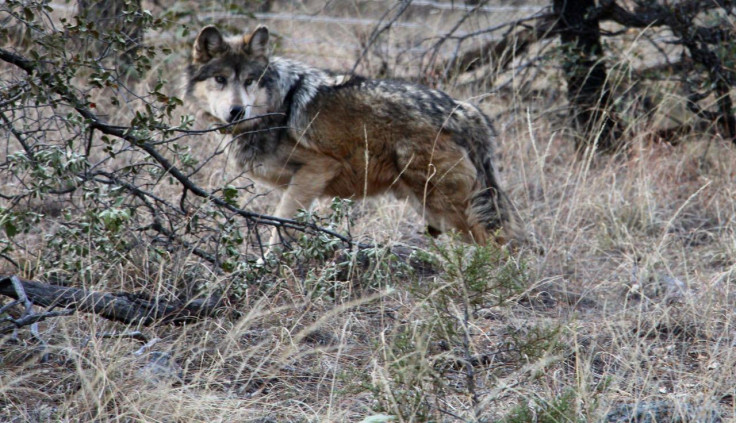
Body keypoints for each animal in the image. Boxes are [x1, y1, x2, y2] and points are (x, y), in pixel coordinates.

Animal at [185, 25, 526, 250]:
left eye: (249, 81)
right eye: (220, 79)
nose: (236, 112)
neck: (274, 109)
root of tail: (467, 112)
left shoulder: (317, 170)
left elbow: (280, 228)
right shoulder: (300, 184)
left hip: (444, 205)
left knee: (501, 242)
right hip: (434, 210)